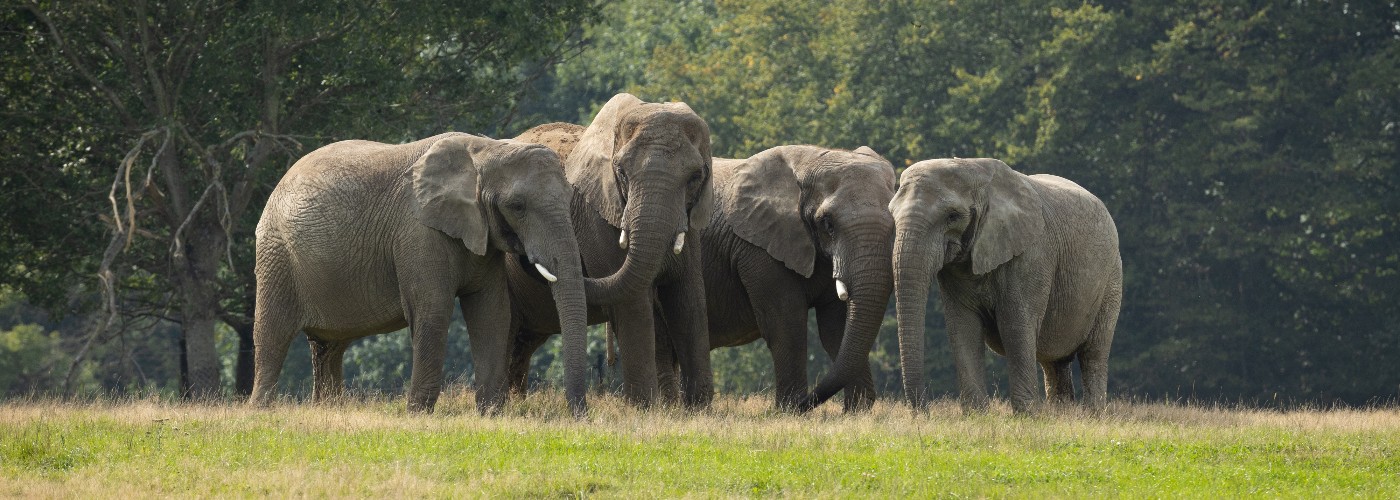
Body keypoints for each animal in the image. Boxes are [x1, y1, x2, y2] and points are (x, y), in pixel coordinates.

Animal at [249, 130, 588, 414]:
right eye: (517, 206)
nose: (579, 415)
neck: (485, 150)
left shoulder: (482, 237)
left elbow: (491, 312)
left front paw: (491, 414)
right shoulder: (418, 232)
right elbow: (433, 310)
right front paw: (417, 414)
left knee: (330, 344)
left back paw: (329, 410)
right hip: (275, 253)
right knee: (272, 332)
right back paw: (261, 411)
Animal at [506, 94, 722, 408]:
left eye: (695, 177)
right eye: (621, 172)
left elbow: (688, 298)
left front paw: (699, 409)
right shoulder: (597, 218)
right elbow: (632, 302)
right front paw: (644, 409)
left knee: (523, 341)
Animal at [655, 146, 896, 411]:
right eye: (828, 224)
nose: (806, 401)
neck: (810, 162)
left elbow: (836, 329)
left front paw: (856, 412)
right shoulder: (759, 250)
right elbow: (786, 323)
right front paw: (790, 410)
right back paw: (667, 408)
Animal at [890, 156, 1120, 411]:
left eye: (953, 216)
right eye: (892, 214)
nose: (924, 411)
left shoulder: (1032, 255)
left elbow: (1015, 324)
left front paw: (1026, 414)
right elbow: (964, 326)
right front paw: (976, 413)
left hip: (1111, 278)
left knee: (1094, 353)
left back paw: (1093, 413)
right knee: (1054, 361)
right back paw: (1063, 413)